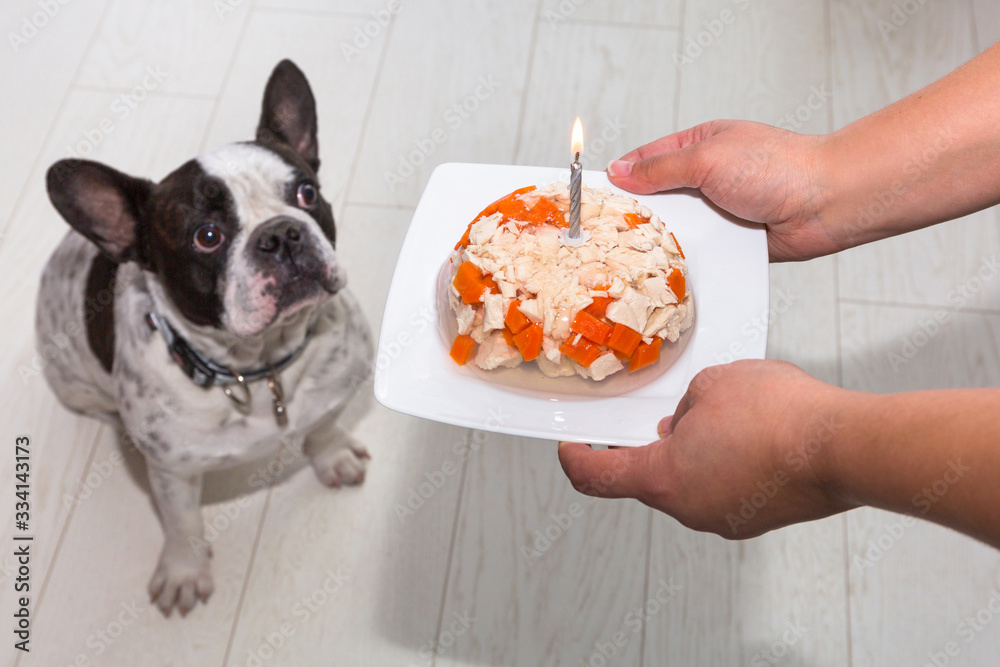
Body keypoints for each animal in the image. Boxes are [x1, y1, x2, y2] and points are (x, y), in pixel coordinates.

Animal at [35, 61, 374, 616]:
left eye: (306, 193)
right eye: (207, 236)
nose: (281, 234)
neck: (258, 366)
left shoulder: (334, 391)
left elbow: (324, 427)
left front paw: (333, 455)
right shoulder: (171, 472)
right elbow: (181, 520)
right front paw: (184, 570)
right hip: (72, 384)